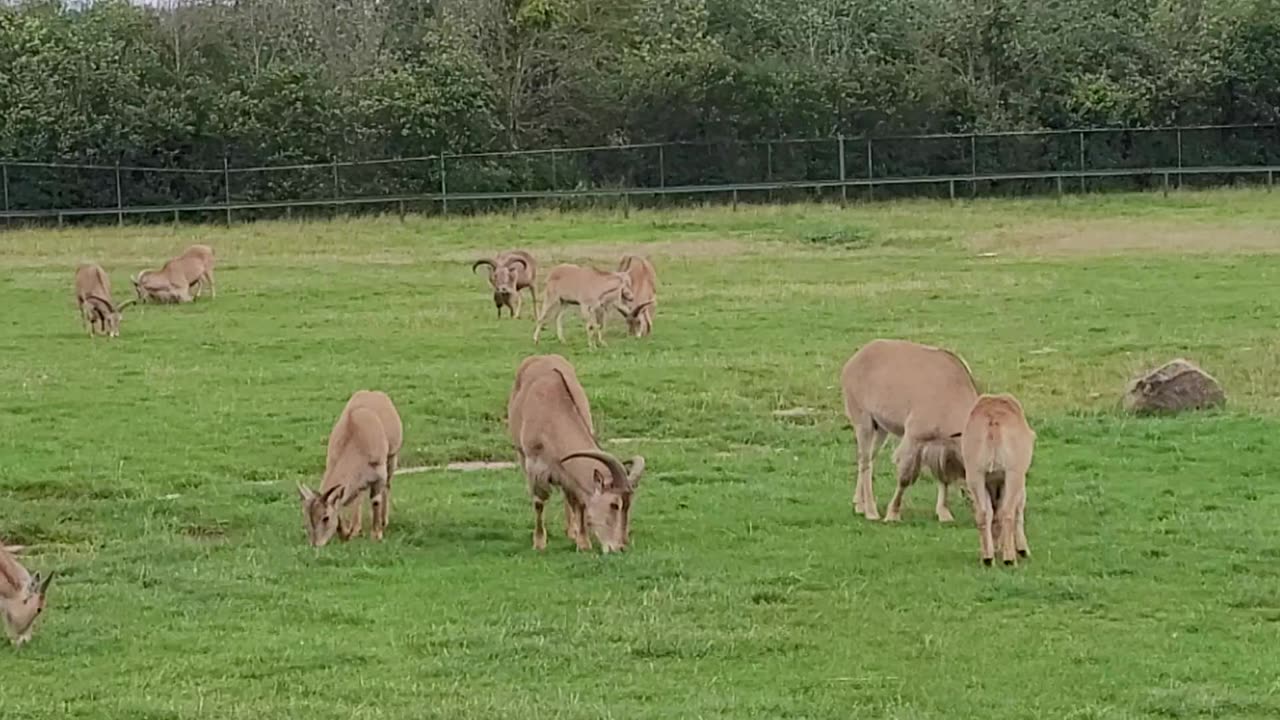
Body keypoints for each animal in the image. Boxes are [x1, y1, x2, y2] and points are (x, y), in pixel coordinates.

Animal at [296, 389, 401, 545]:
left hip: (392, 458)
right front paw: (348, 533)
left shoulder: (379, 473)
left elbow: (376, 500)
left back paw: (383, 521)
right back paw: (356, 527)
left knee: (387, 486)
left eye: (325, 517)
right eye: (308, 518)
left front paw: (376, 534)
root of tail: (374, 392)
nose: (316, 544)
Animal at [506, 351, 645, 548]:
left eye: (628, 504)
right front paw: (539, 543)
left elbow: (579, 502)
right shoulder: (535, 466)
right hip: (521, 455)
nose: (621, 546)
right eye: (614, 504)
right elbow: (539, 502)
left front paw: (583, 542)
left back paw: (572, 531)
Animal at [839, 335, 977, 520]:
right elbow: (905, 477)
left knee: (868, 458)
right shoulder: (914, 438)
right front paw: (893, 514)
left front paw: (944, 513)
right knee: (865, 460)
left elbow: (942, 477)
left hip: (880, 427)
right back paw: (871, 511)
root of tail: (853, 362)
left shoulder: (939, 446)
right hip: (863, 420)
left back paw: (859, 505)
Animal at [962, 392, 1039, 566]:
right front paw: (1022, 550)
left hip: (975, 475)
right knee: (1008, 512)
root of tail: (993, 419)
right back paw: (1009, 559)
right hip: (1013, 474)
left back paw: (987, 558)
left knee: (983, 513)